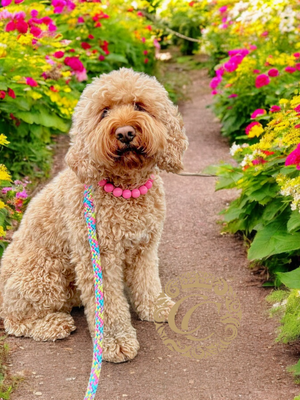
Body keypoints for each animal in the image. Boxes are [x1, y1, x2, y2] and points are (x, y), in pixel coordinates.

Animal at [0, 68, 188, 362]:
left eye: (139, 105)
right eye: (104, 112)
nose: (125, 132)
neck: (126, 190)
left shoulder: (145, 247)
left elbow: (147, 281)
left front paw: (155, 307)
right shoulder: (97, 256)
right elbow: (108, 304)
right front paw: (115, 341)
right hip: (43, 272)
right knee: (14, 320)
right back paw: (52, 324)